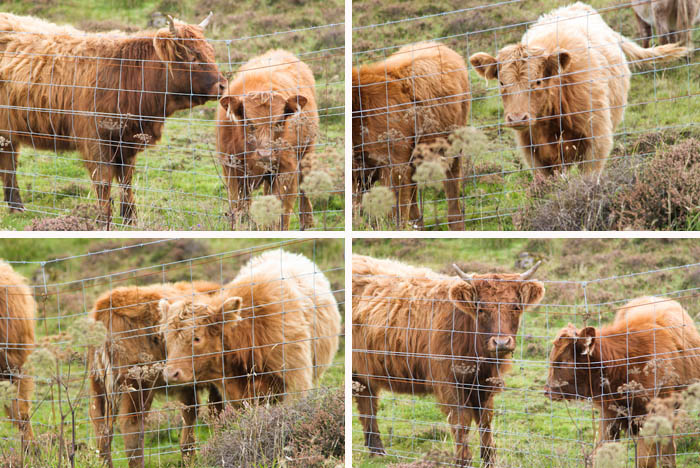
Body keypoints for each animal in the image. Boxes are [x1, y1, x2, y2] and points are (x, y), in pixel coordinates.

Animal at [0, 12, 227, 226]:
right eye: (192, 55)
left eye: (211, 52)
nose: (223, 85)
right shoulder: (95, 139)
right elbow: (103, 181)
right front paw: (104, 220)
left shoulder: (127, 140)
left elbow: (126, 179)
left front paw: (129, 218)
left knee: (9, 161)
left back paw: (16, 206)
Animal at [88, 281, 223, 468]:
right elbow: (215, 411)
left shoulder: (187, 383)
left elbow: (190, 412)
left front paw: (189, 456)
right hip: (138, 384)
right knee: (131, 426)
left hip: (98, 383)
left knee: (100, 426)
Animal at [218, 50, 319, 230]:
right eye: (249, 123)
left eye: (278, 123)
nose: (265, 154)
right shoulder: (232, 170)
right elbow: (239, 207)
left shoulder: (287, 170)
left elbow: (281, 212)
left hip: (306, 152)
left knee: (304, 189)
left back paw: (307, 223)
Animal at [352, 255, 545, 466]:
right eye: (481, 309)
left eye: (515, 307)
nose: (501, 342)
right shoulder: (448, 382)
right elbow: (461, 422)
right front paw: (463, 460)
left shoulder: (485, 384)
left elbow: (485, 420)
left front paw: (489, 459)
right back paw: (377, 449)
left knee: (367, 401)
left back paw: (376, 450)